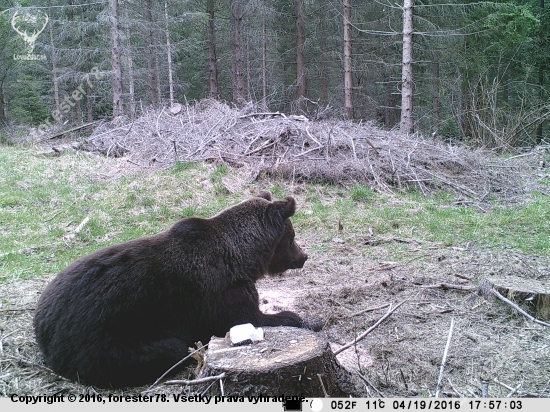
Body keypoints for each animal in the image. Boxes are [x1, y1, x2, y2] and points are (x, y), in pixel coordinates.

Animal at [34, 191, 320, 390]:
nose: (303, 256)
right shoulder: (219, 294)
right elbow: (247, 317)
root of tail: (42, 325)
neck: (242, 260)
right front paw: (299, 318)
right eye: (292, 237)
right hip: (105, 336)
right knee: (170, 349)